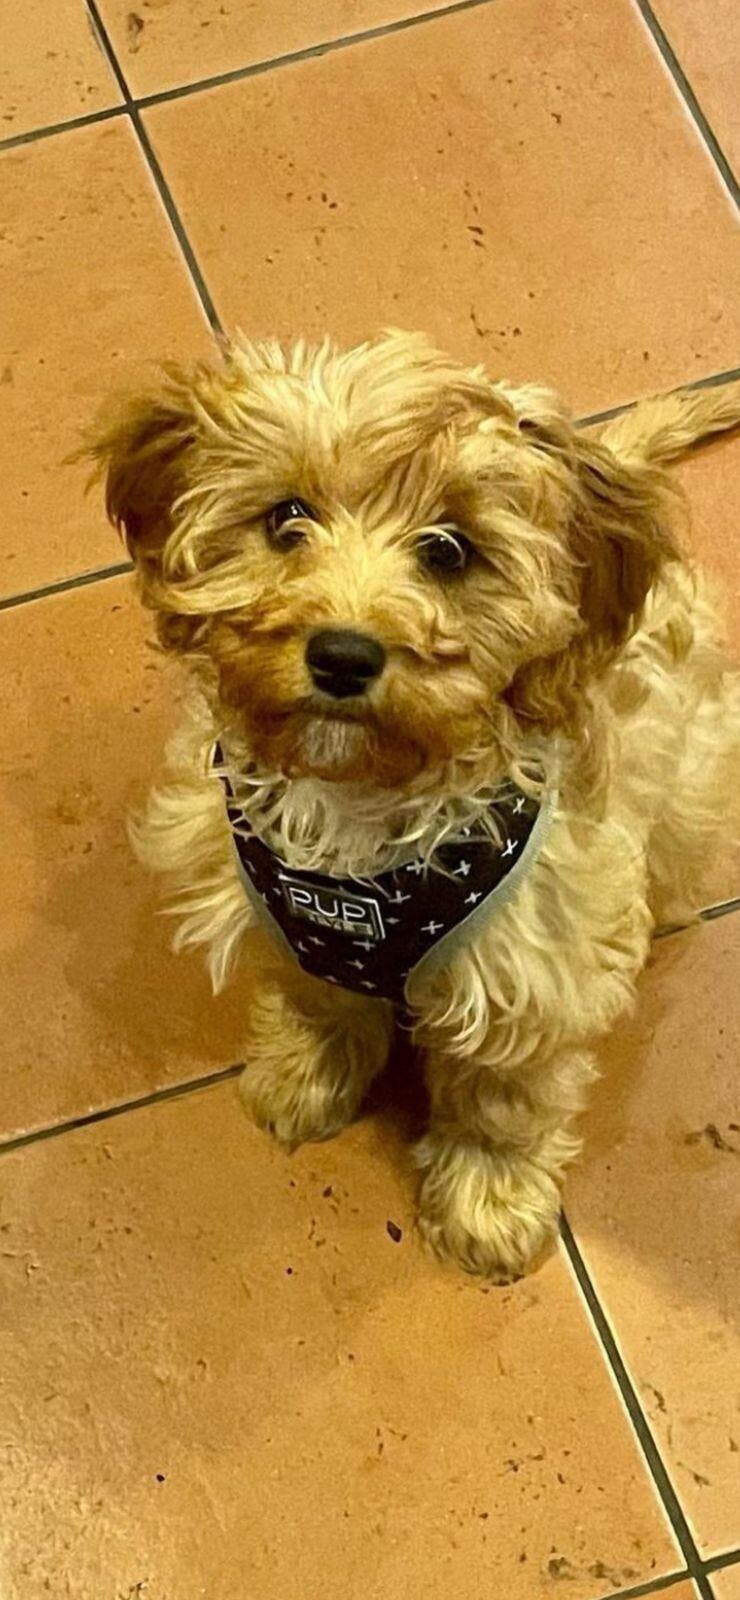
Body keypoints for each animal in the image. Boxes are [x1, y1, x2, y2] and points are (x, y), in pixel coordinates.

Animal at [89, 331, 740, 1281]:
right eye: (287, 518)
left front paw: (488, 1200)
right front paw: (305, 1072)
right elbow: (316, 995)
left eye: (449, 551)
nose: (342, 655)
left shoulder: (536, 967)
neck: (359, 809)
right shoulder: (280, 911)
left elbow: (504, 1098)